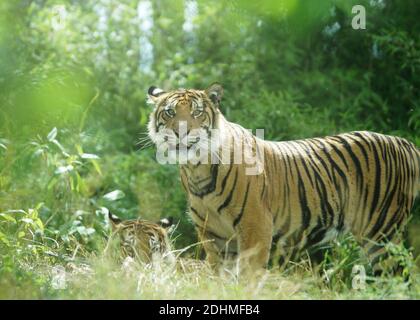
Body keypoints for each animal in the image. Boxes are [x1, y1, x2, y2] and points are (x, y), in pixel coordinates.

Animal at [146, 84, 418, 274]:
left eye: (197, 113)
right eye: (170, 112)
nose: (181, 131)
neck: (196, 170)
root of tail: (403, 142)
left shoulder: (256, 228)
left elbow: (248, 278)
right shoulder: (214, 236)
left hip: (382, 233)